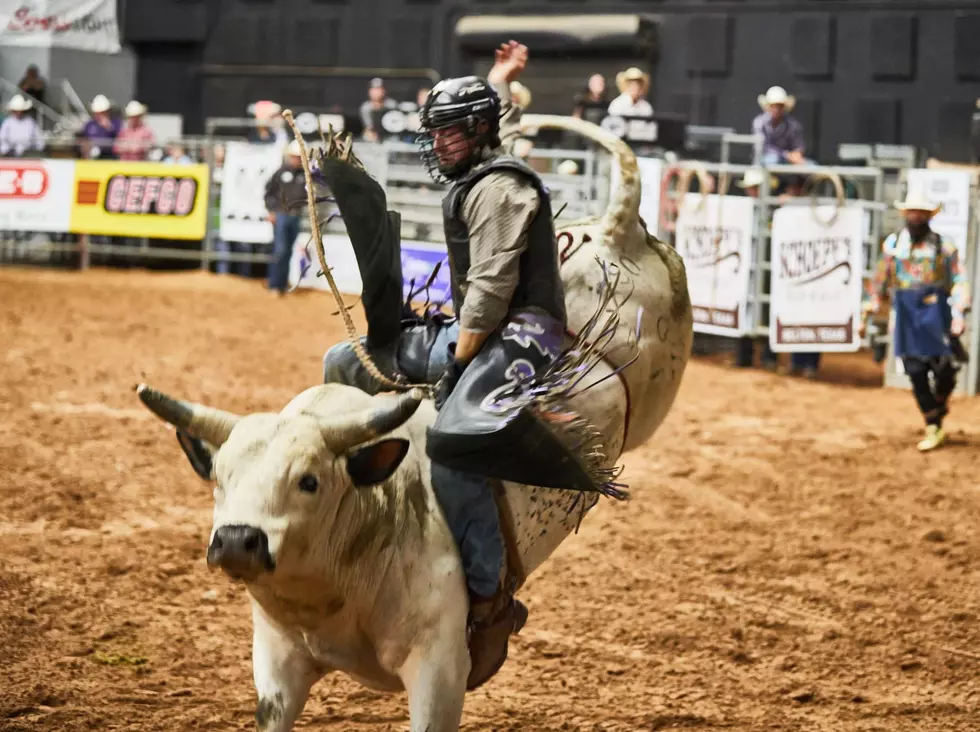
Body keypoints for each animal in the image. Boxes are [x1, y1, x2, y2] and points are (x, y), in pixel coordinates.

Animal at [138, 116, 692, 732]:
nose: (238, 541)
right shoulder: (277, 660)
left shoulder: (441, 667)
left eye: (309, 481)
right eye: (219, 479)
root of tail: (615, 233)